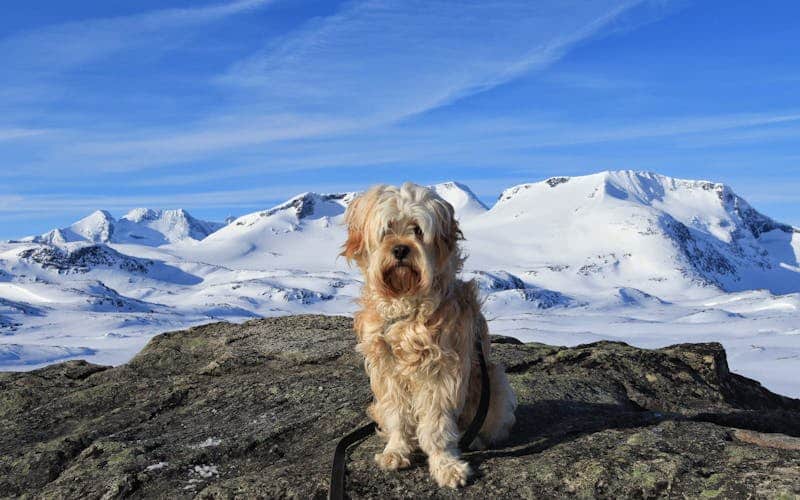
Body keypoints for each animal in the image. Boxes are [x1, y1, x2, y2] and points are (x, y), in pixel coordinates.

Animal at [340, 183, 516, 488]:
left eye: (418, 230)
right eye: (387, 229)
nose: (400, 249)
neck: (406, 307)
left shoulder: (442, 371)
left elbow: (437, 425)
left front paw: (446, 465)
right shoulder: (387, 371)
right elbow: (398, 418)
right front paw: (396, 451)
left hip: (494, 383)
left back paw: (476, 439)